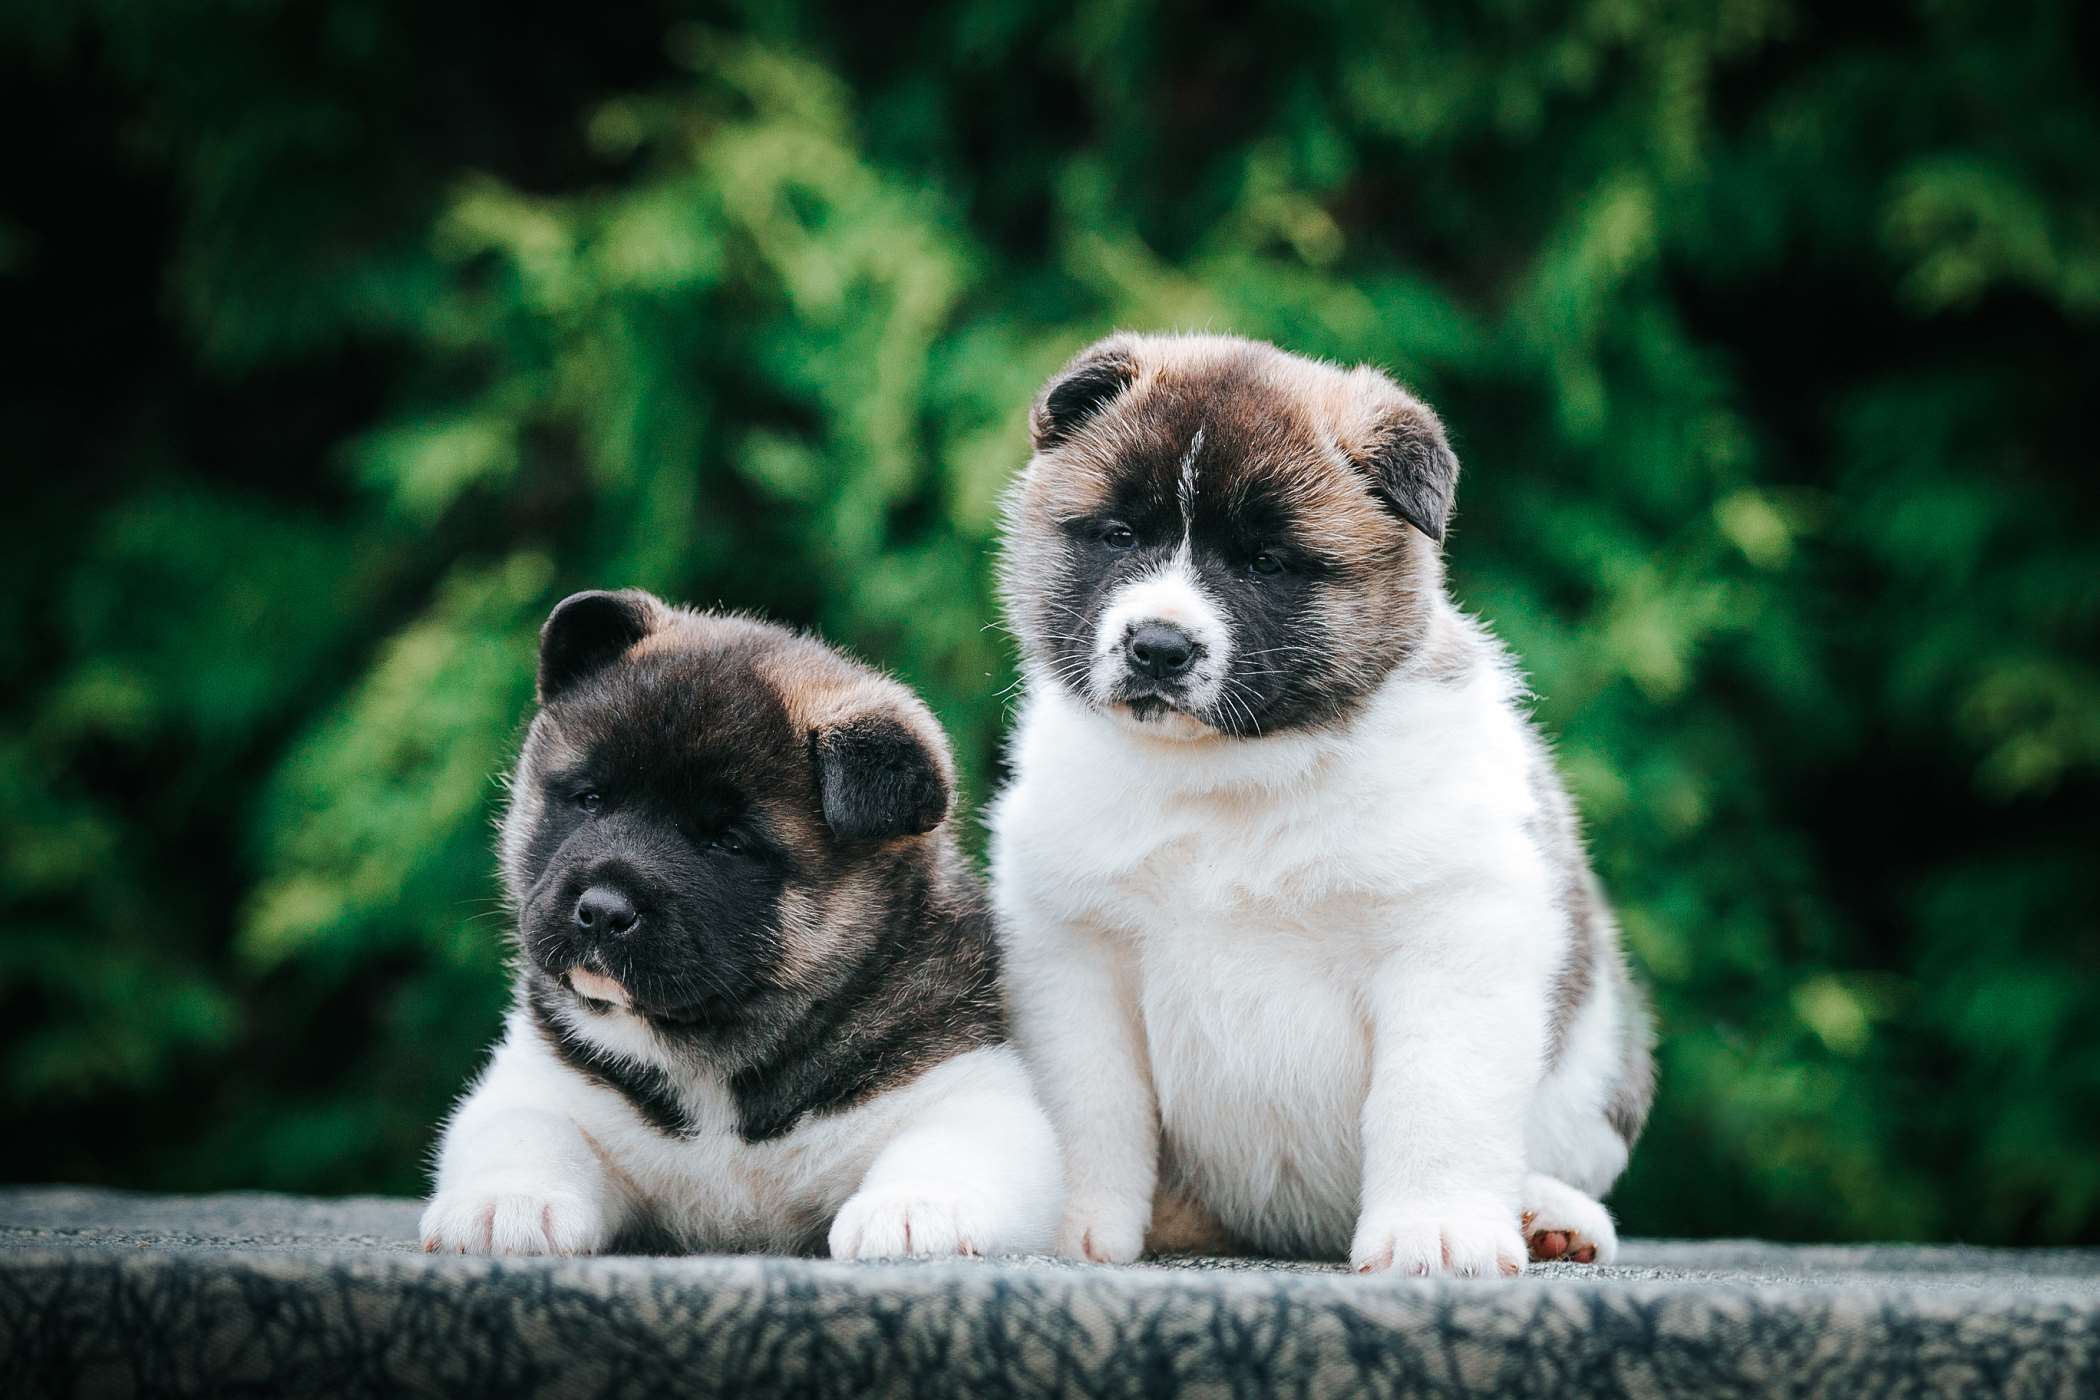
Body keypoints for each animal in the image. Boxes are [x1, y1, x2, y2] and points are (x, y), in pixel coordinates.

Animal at [422, 591, 1066, 1259]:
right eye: (591, 800)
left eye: (728, 842)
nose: (601, 910)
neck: (714, 1053)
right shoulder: (543, 1083)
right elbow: (525, 1132)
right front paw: (509, 1203)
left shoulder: (965, 1087)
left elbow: (950, 1145)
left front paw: (915, 1209)